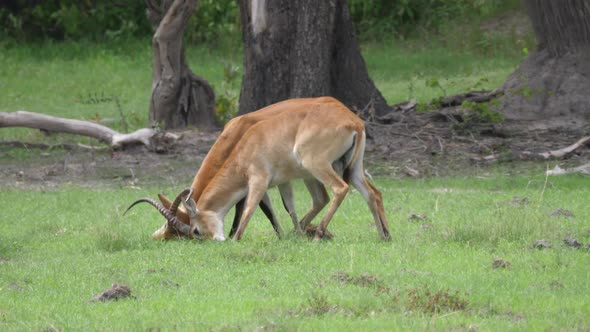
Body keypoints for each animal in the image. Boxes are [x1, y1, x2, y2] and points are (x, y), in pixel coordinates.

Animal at [169, 96, 394, 241]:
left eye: (195, 231)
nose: (216, 240)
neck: (245, 142)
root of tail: (354, 122)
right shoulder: (281, 182)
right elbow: (288, 208)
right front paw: (294, 235)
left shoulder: (258, 180)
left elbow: (249, 208)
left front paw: (236, 238)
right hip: (353, 169)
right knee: (372, 193)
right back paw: (384, 236)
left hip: (316, 166)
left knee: (339, 189)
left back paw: (319, 233)